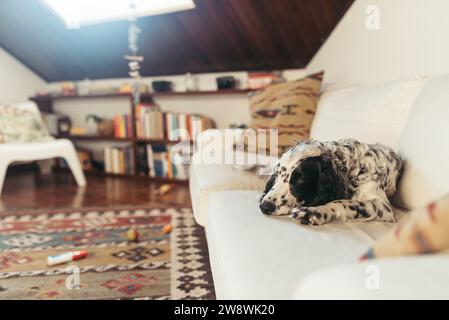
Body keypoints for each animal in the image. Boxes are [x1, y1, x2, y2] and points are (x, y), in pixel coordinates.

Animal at [260, 139, 402, 226]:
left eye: (300, 179)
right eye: (276, 174)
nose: (265, 206)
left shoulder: (383, 206)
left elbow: (344, 203)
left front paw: (315, 212)